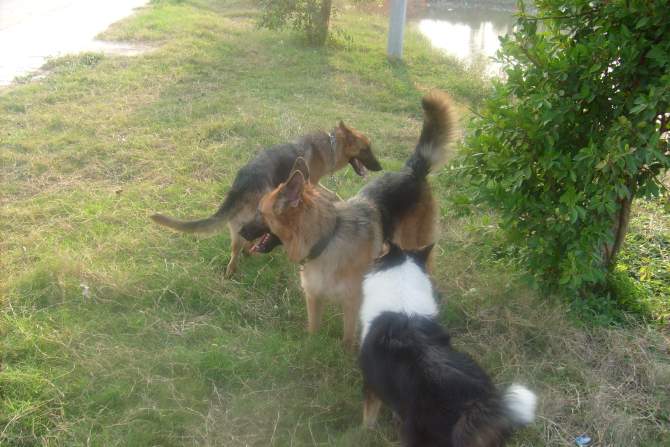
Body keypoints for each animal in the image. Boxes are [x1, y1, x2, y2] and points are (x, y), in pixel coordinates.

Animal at [150, 122, 381, 277]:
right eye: (366, 149)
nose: (381, 168)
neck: (331, 145)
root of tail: (241, 185)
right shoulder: (312, 183)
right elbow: (330, 194)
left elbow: (332, 195)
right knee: (245, 246)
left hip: (239, 225)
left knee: (238, 249)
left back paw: (238, 265)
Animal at [241, 91, 455, 347]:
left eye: (260, 213)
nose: (240, 231)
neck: (325, 240)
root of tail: (412, 171)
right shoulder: (314, 298)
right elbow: (313, 331)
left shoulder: (352, 304)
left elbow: (347, 340)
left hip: (414, 242)